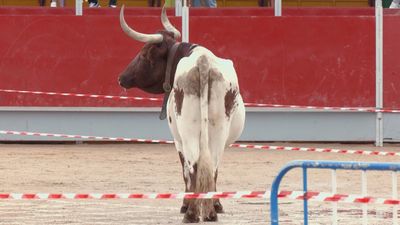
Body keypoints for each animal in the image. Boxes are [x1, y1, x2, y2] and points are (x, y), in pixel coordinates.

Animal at [117, 5, 245, 223]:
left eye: (143, 55)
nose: (121, 78)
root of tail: (203, 62)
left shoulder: (177, 140)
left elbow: (185, 171)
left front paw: (186, 205)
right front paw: (216, 205)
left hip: (187, 132)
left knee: (192, 166)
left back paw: (192, 213)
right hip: (217, 131)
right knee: (211, 166)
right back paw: (209, 213)